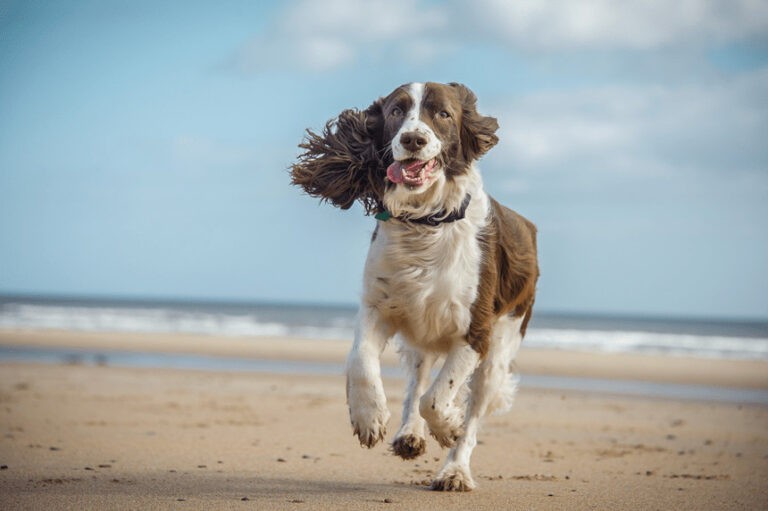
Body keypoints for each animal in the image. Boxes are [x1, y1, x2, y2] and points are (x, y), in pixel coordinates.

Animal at [292, 82, 536, 490]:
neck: (425, 222)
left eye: (444, 114)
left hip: (500, 350)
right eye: (395, 111)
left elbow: (438, 399)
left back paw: (455, 470)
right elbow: (361, 361)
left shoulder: (476, 332)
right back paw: (410, 435)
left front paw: (449, 426)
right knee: (417, 381)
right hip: (421, 335)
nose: (413, 139)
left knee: (471, 412)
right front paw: (369, 418)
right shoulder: (377, 306)